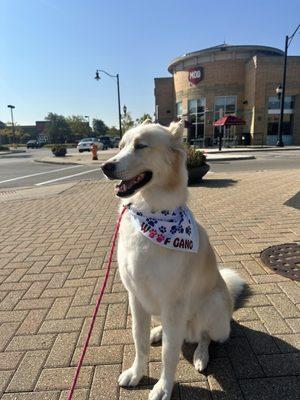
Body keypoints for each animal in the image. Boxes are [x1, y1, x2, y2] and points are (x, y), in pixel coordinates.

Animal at [101, 119, 244, 400]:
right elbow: (139, 340)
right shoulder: (136, 297)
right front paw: (137, 373)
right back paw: (158, 332)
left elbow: (169, 354)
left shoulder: (174, 304)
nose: (105, 167)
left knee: (204, 337)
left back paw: (200, 355)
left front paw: (163, 387)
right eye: (121, 146)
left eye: (141, 146)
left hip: (212, 308)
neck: (150, 214)